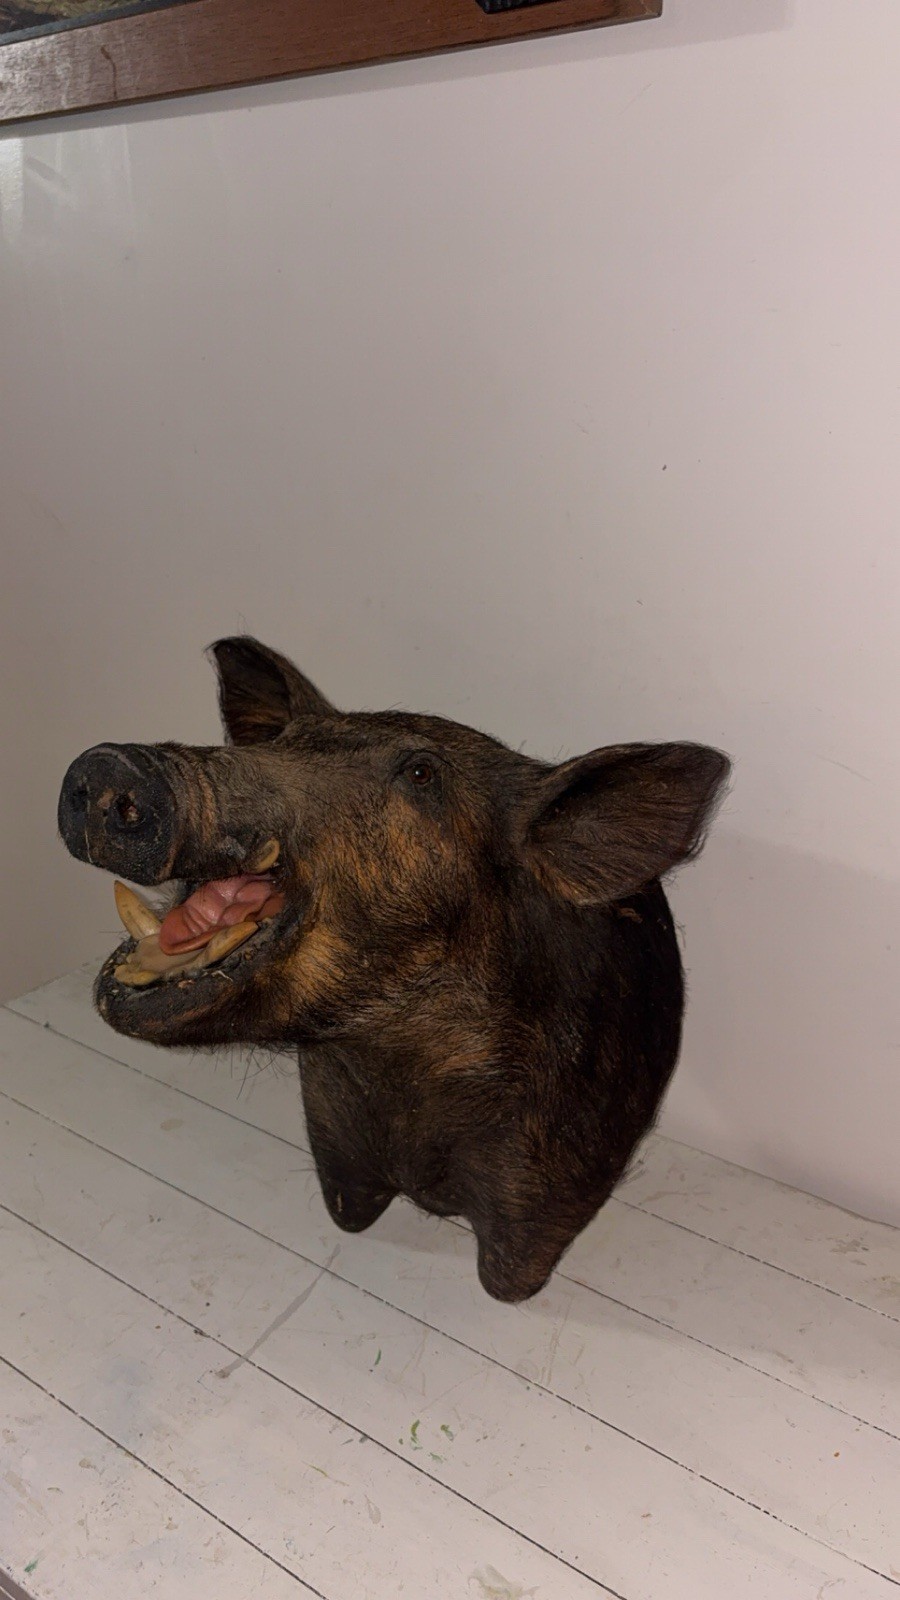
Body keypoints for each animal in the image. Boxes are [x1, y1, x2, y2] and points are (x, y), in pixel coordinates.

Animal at [58, 637, 729, 1302]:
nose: (109, 764)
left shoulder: (551, 1176)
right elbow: (347, 1211)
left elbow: (510, 1278)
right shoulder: (332, 1133)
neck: (396, 1067)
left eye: (421, 773)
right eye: (284, 740)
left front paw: (505, 1294)